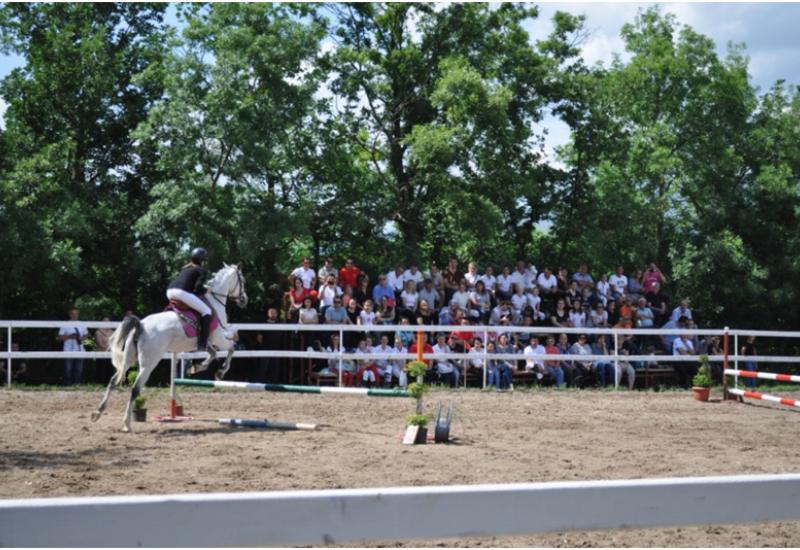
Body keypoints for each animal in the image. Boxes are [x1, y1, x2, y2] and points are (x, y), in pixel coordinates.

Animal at [91, 266, 247, 434]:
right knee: (135, 389)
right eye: (242, 281)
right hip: (148, 363)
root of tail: (141, 325)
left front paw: (197, 367)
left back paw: (98, 413)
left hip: (129, 358)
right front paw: (220, 372)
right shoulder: (218, 338)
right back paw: (126, 423)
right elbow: (232, 349)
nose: (244, 300)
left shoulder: (207, 342)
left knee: (113, 381)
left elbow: (213, 353)